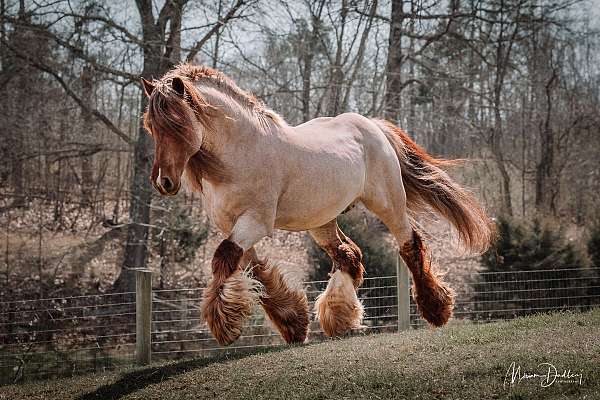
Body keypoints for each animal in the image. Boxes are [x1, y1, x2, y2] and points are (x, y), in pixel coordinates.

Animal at [142, 64, 496, 346]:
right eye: (151, 126)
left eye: (177, 124)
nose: (163, 182)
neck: (241, 154)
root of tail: (373, 126)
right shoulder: (232, 225)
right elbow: (253, 269)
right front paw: (294, 324)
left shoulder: (254, 222)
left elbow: (222, 259)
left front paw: (224, 326)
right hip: (321, 221)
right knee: (349, 257)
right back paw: (339, 317)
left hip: (388, 204)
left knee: (410, 244)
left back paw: (435, 309)